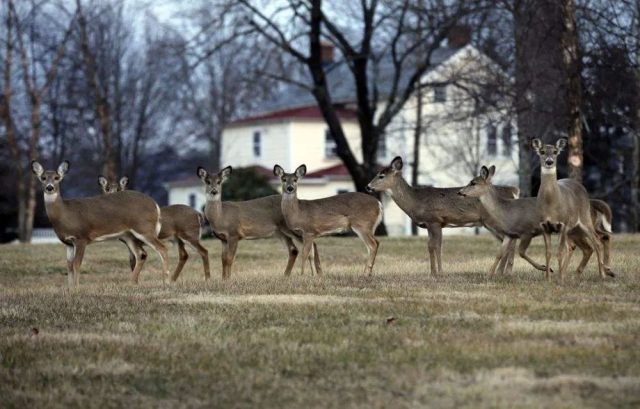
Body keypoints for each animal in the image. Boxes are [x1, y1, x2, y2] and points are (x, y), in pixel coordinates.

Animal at [32, 159, 169, 284]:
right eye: (43, 178)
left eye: (57, 177)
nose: (50, 187)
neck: (65, 213)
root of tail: (155, 205)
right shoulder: (68, 243)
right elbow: (69, 266)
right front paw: (69, 289)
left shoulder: (81, 237)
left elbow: (77, 264)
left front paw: (76, 289)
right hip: (129, 235)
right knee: (141, 254)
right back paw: (132, 282)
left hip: (144, 228)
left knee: (162, 248)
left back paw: (165, 282)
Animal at [364, 156, 520, 274]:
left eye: (381, 176)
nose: (367, 186)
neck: (416, 201)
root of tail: (513, 191)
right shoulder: (429, 224)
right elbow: (431, 246)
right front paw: (433, 272)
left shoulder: (435, 221)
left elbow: (436, 246)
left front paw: (439, 272)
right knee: (509, 242)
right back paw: (506, 272)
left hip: (493, 221)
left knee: (509, 242)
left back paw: (502, 272)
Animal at [458, 164, 612, 276]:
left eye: (473, 182)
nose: (460, 192)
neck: (506, 211)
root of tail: (591, 201)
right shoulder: (509, 234)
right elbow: (499, 254)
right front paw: (490, 275)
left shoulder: (527, 231)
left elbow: (521, 252)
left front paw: (546, 268)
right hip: (575, 229)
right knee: (589, 245)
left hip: (579, 224)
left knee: (592, 242)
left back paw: (600, 273)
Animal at [528, 138, 612, 280]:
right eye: (542, 151)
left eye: (555, 152)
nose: (549, 161)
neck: (551, 204)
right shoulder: (544, 226)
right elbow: (548, 253)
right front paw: (548, 279)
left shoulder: (563, 224)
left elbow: (559, 252)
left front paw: (559, 279)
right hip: (574, 229)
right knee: (585, 246)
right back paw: (575, 275)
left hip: (584, 220)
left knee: (596, 242)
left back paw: (602, 275)